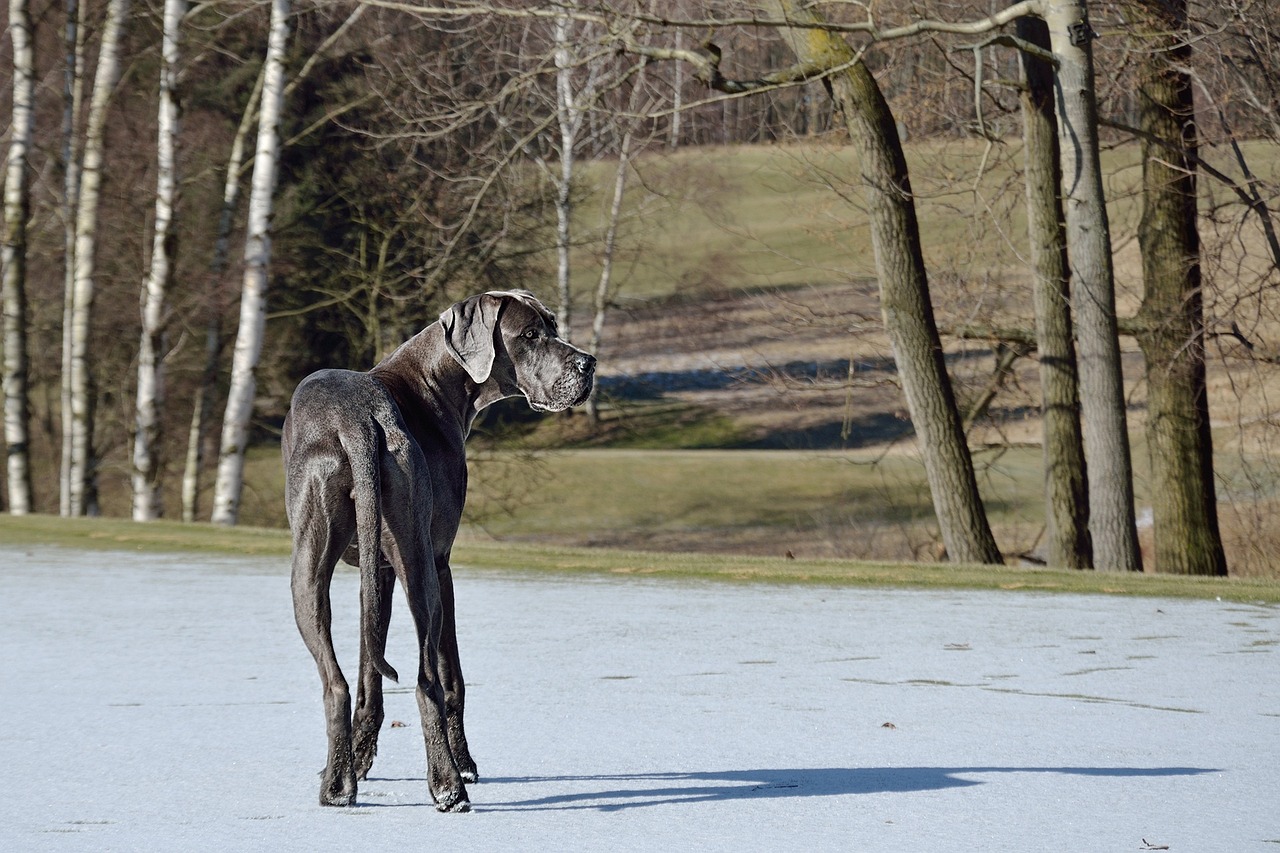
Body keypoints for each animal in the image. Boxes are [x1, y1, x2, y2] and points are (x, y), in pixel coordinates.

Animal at [280, 289, 593, 809]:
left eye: (552, 324)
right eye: (530, 334)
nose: (589, 363)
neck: (433, 380)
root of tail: (356, 419)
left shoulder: (377, 572)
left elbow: (369, 670)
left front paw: (359, 761)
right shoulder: (441, 562)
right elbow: (452, 676)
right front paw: (464, 764)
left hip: (310, 568)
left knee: (336, 683)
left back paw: (337, 785)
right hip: (420, 567)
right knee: (427, 681)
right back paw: (447, 785)